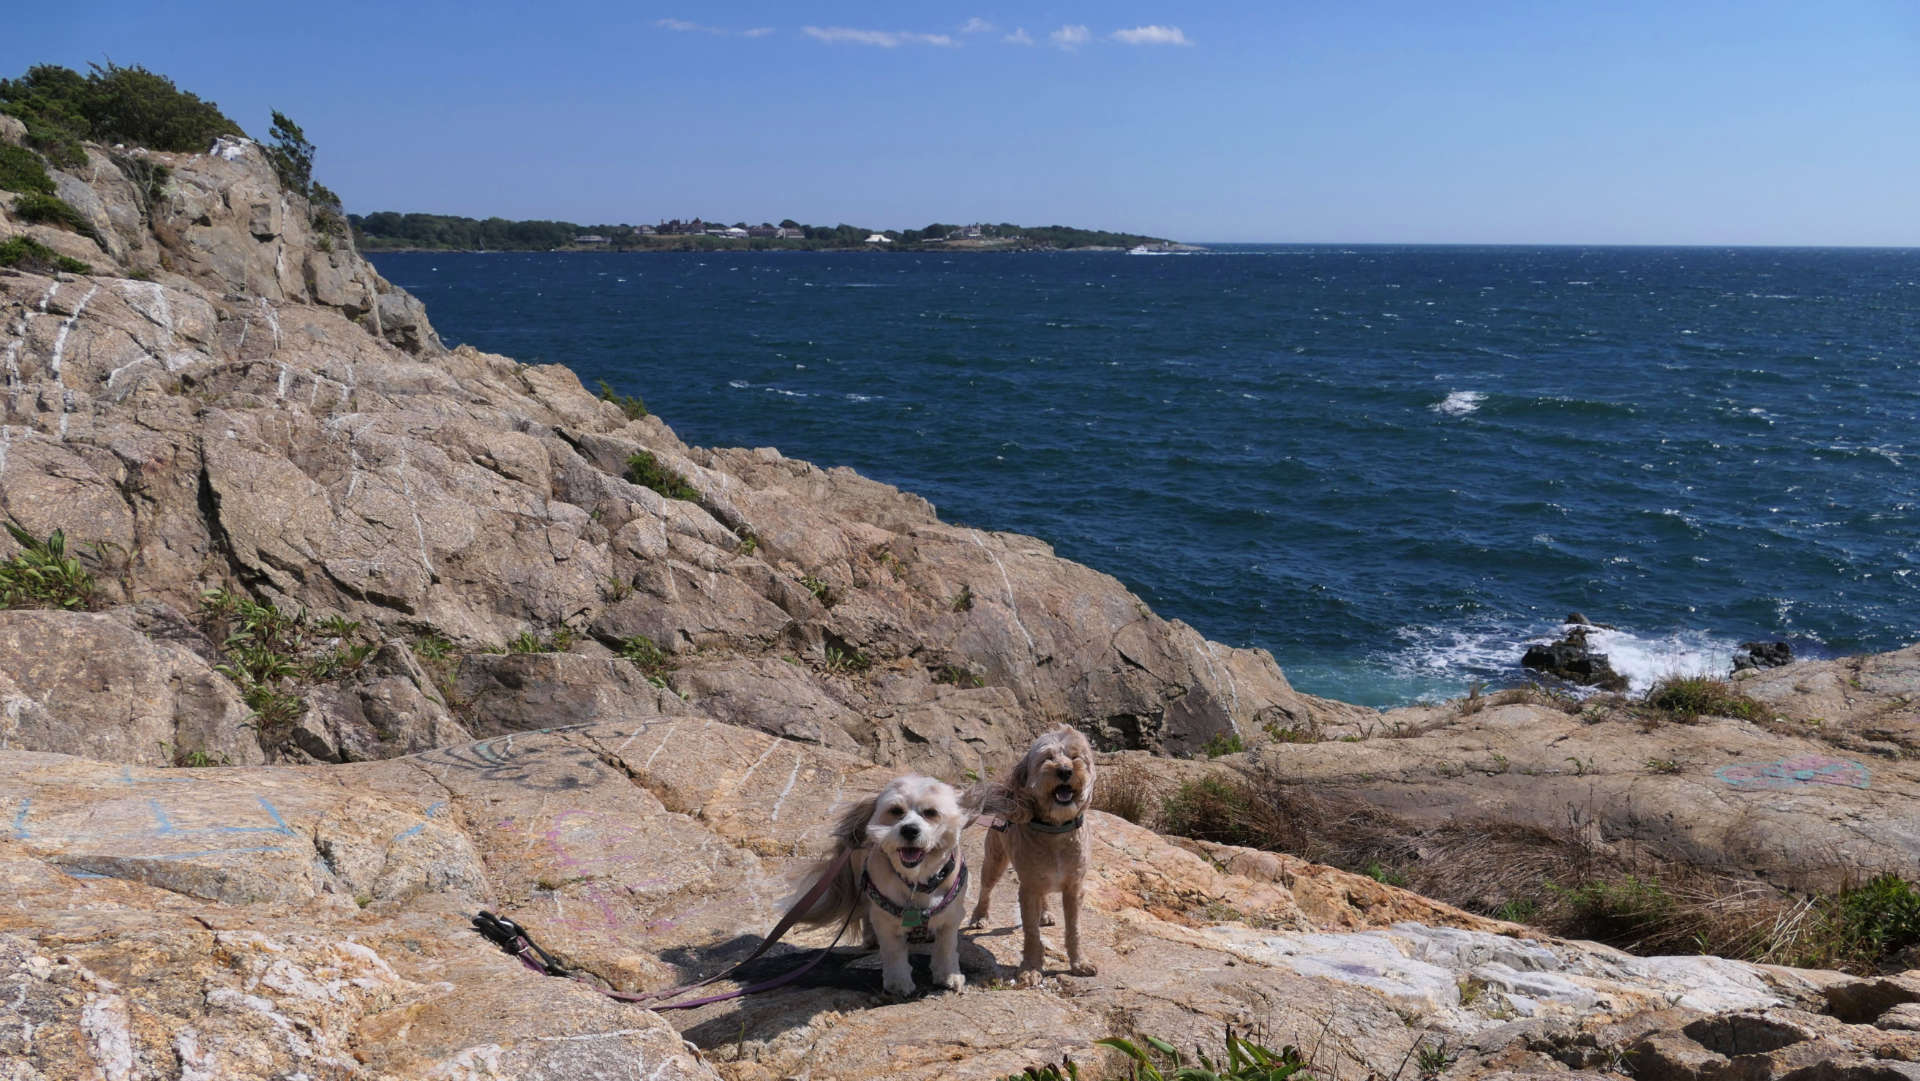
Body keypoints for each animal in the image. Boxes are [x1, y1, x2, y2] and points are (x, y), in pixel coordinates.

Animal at [787, 779, 967, 998]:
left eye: (930, 812)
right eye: (896, 810)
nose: (909, 830)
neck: (916, 882)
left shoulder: (951, 917)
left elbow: (946, 948)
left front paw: (949, 975)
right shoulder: (886, 921)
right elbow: (894, 953)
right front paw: (898, 984)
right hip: (862, 883)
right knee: (866, 912)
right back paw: (871, 938)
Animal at [960, 725, 1098, 990]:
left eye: (1075, 757)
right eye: (1047, 758)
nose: (1065, 771)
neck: (1055, 830)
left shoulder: (1074, 887)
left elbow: (1074, 929)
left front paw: (1080, 963)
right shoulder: (1028, 888)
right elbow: (1032, 933)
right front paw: (1031, 969)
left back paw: (1045, 913)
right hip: (994, 861)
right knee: (986, 889)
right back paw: (980, 916)